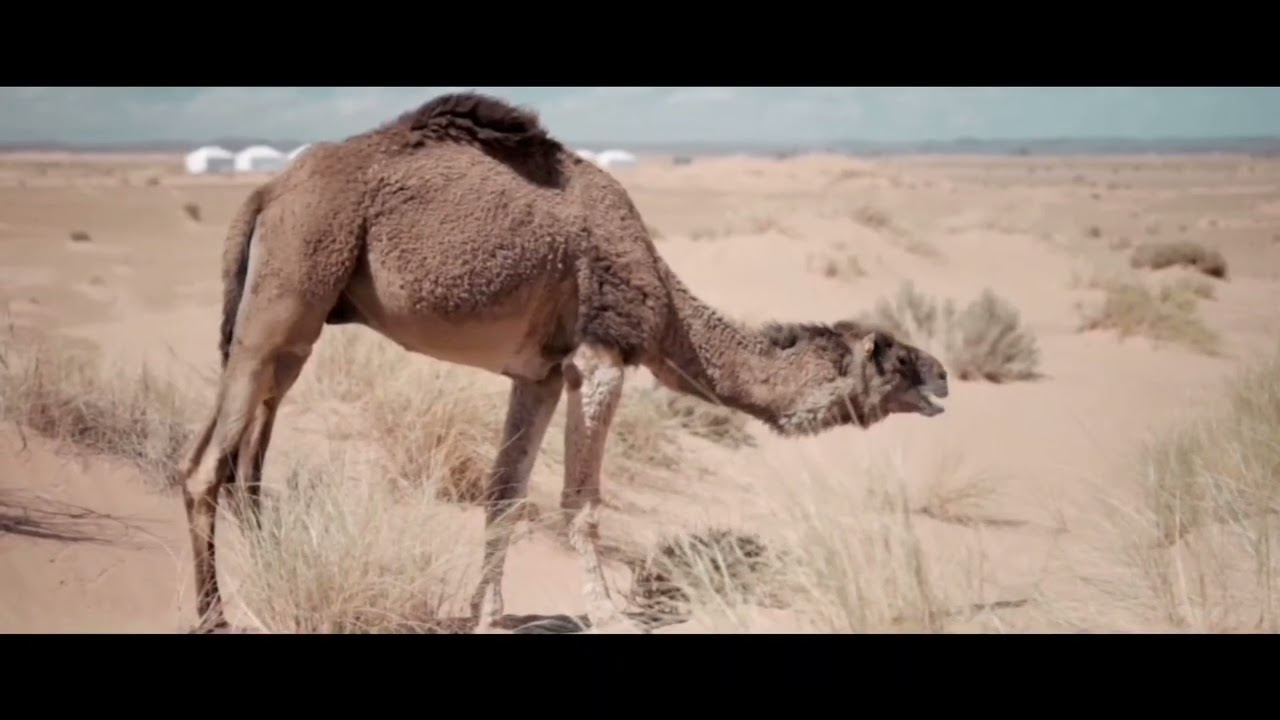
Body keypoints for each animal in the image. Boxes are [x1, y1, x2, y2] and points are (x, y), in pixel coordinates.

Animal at [178, 91, 951, 634]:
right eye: (895, 356)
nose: (943, 375)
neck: (666, 308)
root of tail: (267, 191)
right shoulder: (601, 356)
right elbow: (581, 498)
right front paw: (606, 611)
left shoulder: (540, 373)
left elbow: (504, 491)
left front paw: (487, 611)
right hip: (292, 282)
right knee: (205, 469)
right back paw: (215, 614)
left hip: (290, 317)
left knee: (242, 456)